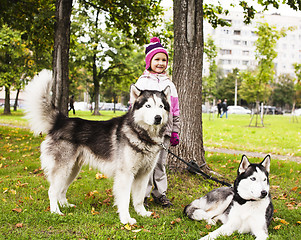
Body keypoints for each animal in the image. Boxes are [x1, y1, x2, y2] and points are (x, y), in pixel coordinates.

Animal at [24, 70, 170, 225]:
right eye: (148, 106)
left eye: (161, 106)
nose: (158, 118)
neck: (143, 135)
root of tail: (62, 121)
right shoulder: (125, 174)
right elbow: (124, 200)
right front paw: (126, 219)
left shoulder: (143, 174)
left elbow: (139, 198)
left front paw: (142, 213)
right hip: (63, 169)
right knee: (52, 191)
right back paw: (55, 212)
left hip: (72, 170)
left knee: (61, 190)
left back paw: (65, 205)